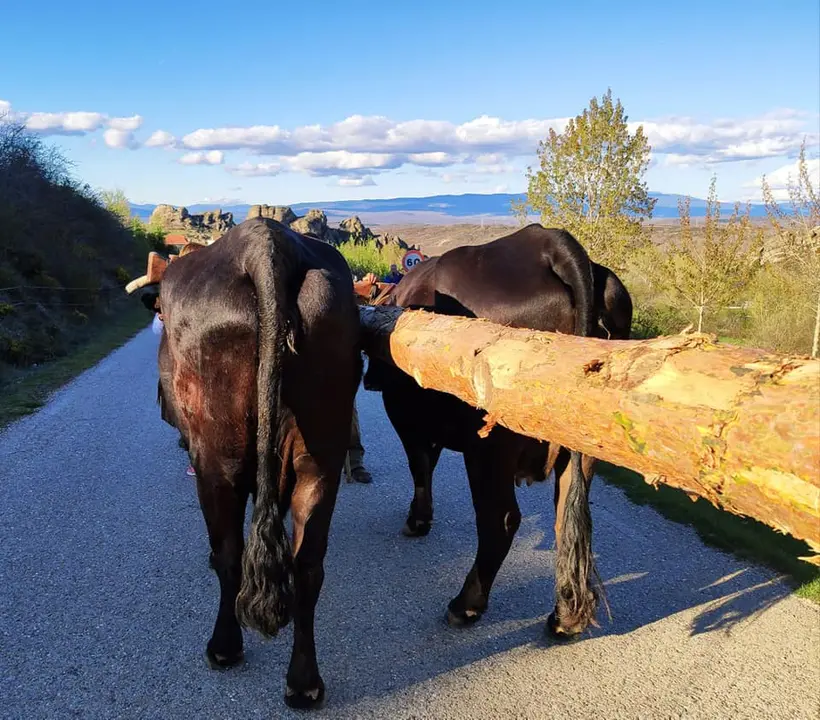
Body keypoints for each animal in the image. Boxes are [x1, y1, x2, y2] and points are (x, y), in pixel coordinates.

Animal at [148, 217, 361, 710]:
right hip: (320, 454)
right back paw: (304, 682)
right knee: (307, 566)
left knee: (229, 554)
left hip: (218, 458)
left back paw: (224, 647)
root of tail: (265, 245)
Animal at [363, 223, 633, 640]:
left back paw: (465, 605)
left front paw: (417, 520)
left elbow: (420, 465)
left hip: (488, 444)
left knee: (500, 519)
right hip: (587, 440)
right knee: (566, 519)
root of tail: (548, 242)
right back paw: (565, 617)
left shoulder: (405, 417)